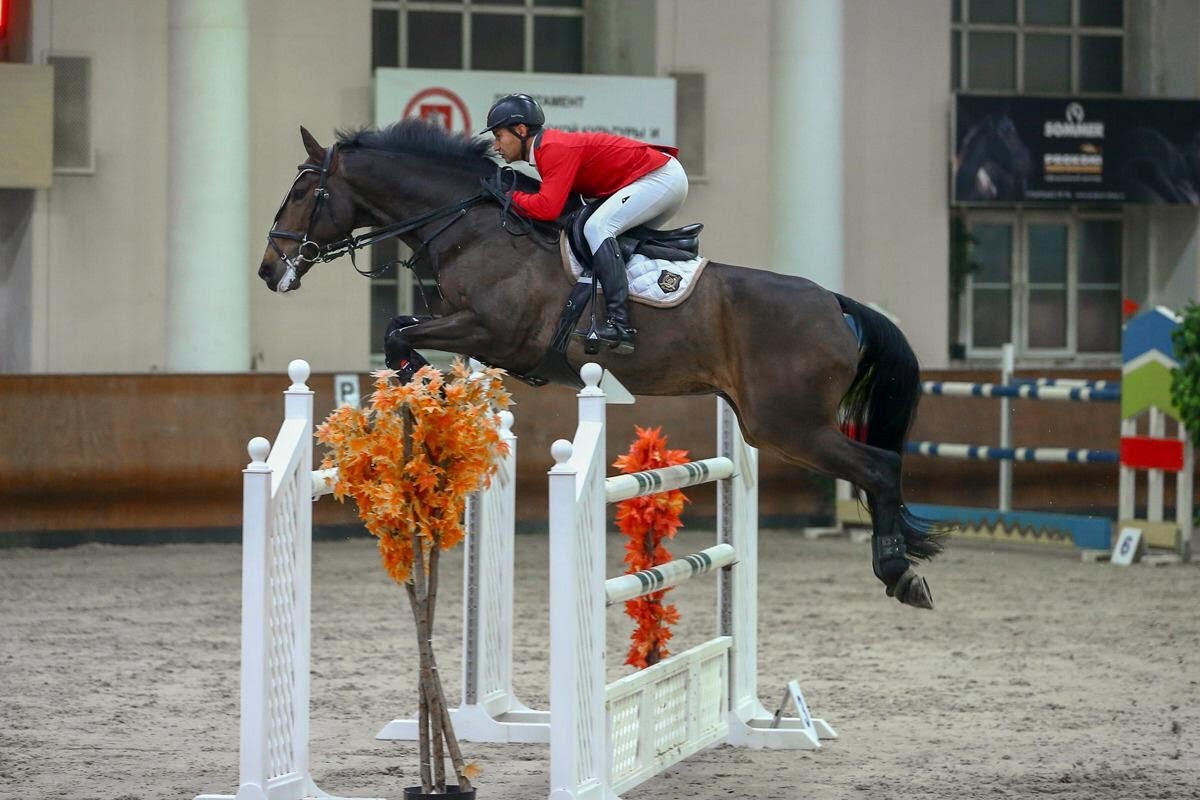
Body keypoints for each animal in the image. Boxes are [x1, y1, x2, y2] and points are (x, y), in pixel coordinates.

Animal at [258, 117, 940, 606]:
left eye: (303, 193)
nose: (269, 270)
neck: (470, 226)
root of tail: (835, 304)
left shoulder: (492, 330)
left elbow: (400, 335)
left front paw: (424, 394)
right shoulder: (473, 332)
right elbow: (400, 331)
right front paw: (427, 398)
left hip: (787, 424)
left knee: (880, 467)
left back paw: (899, 573)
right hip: (771, 424)